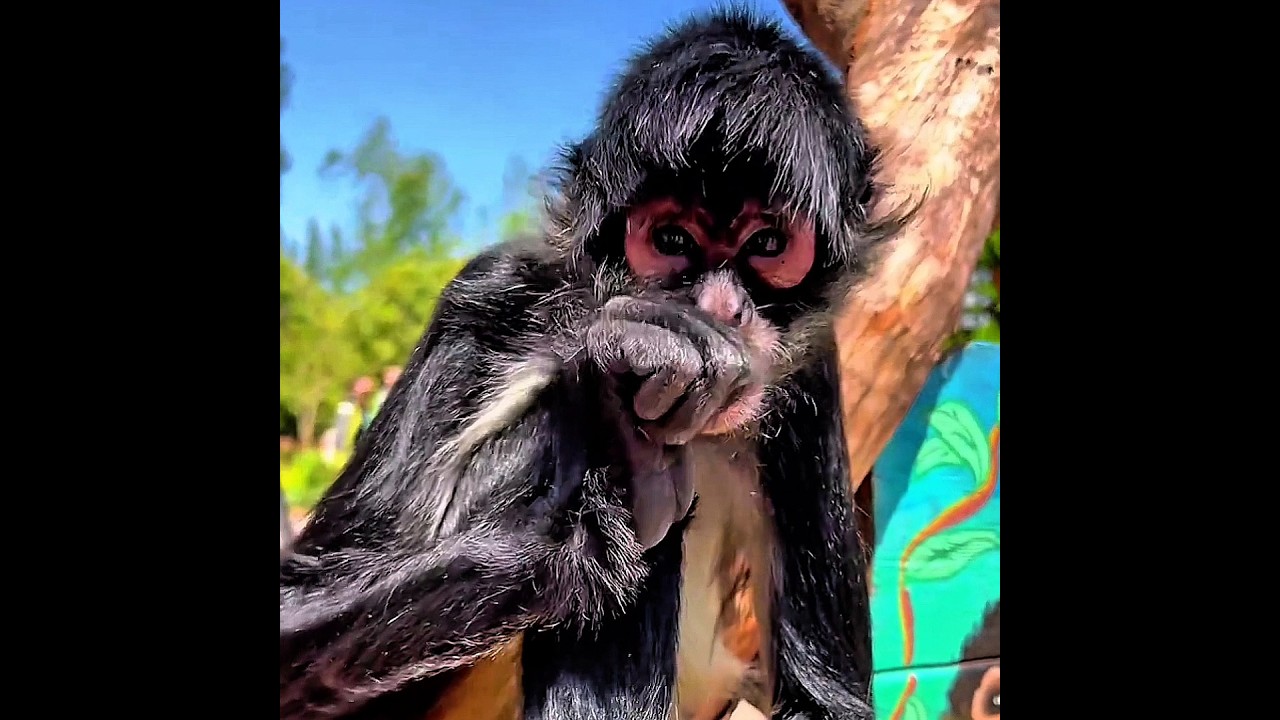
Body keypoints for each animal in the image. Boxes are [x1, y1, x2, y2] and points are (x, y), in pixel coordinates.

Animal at [280, 8, 905, 720]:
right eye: (671, 240)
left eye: (769, 243)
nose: (722, 311)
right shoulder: (488, 291)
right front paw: (605, 434)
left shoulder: (812, 371)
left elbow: (828, 702)